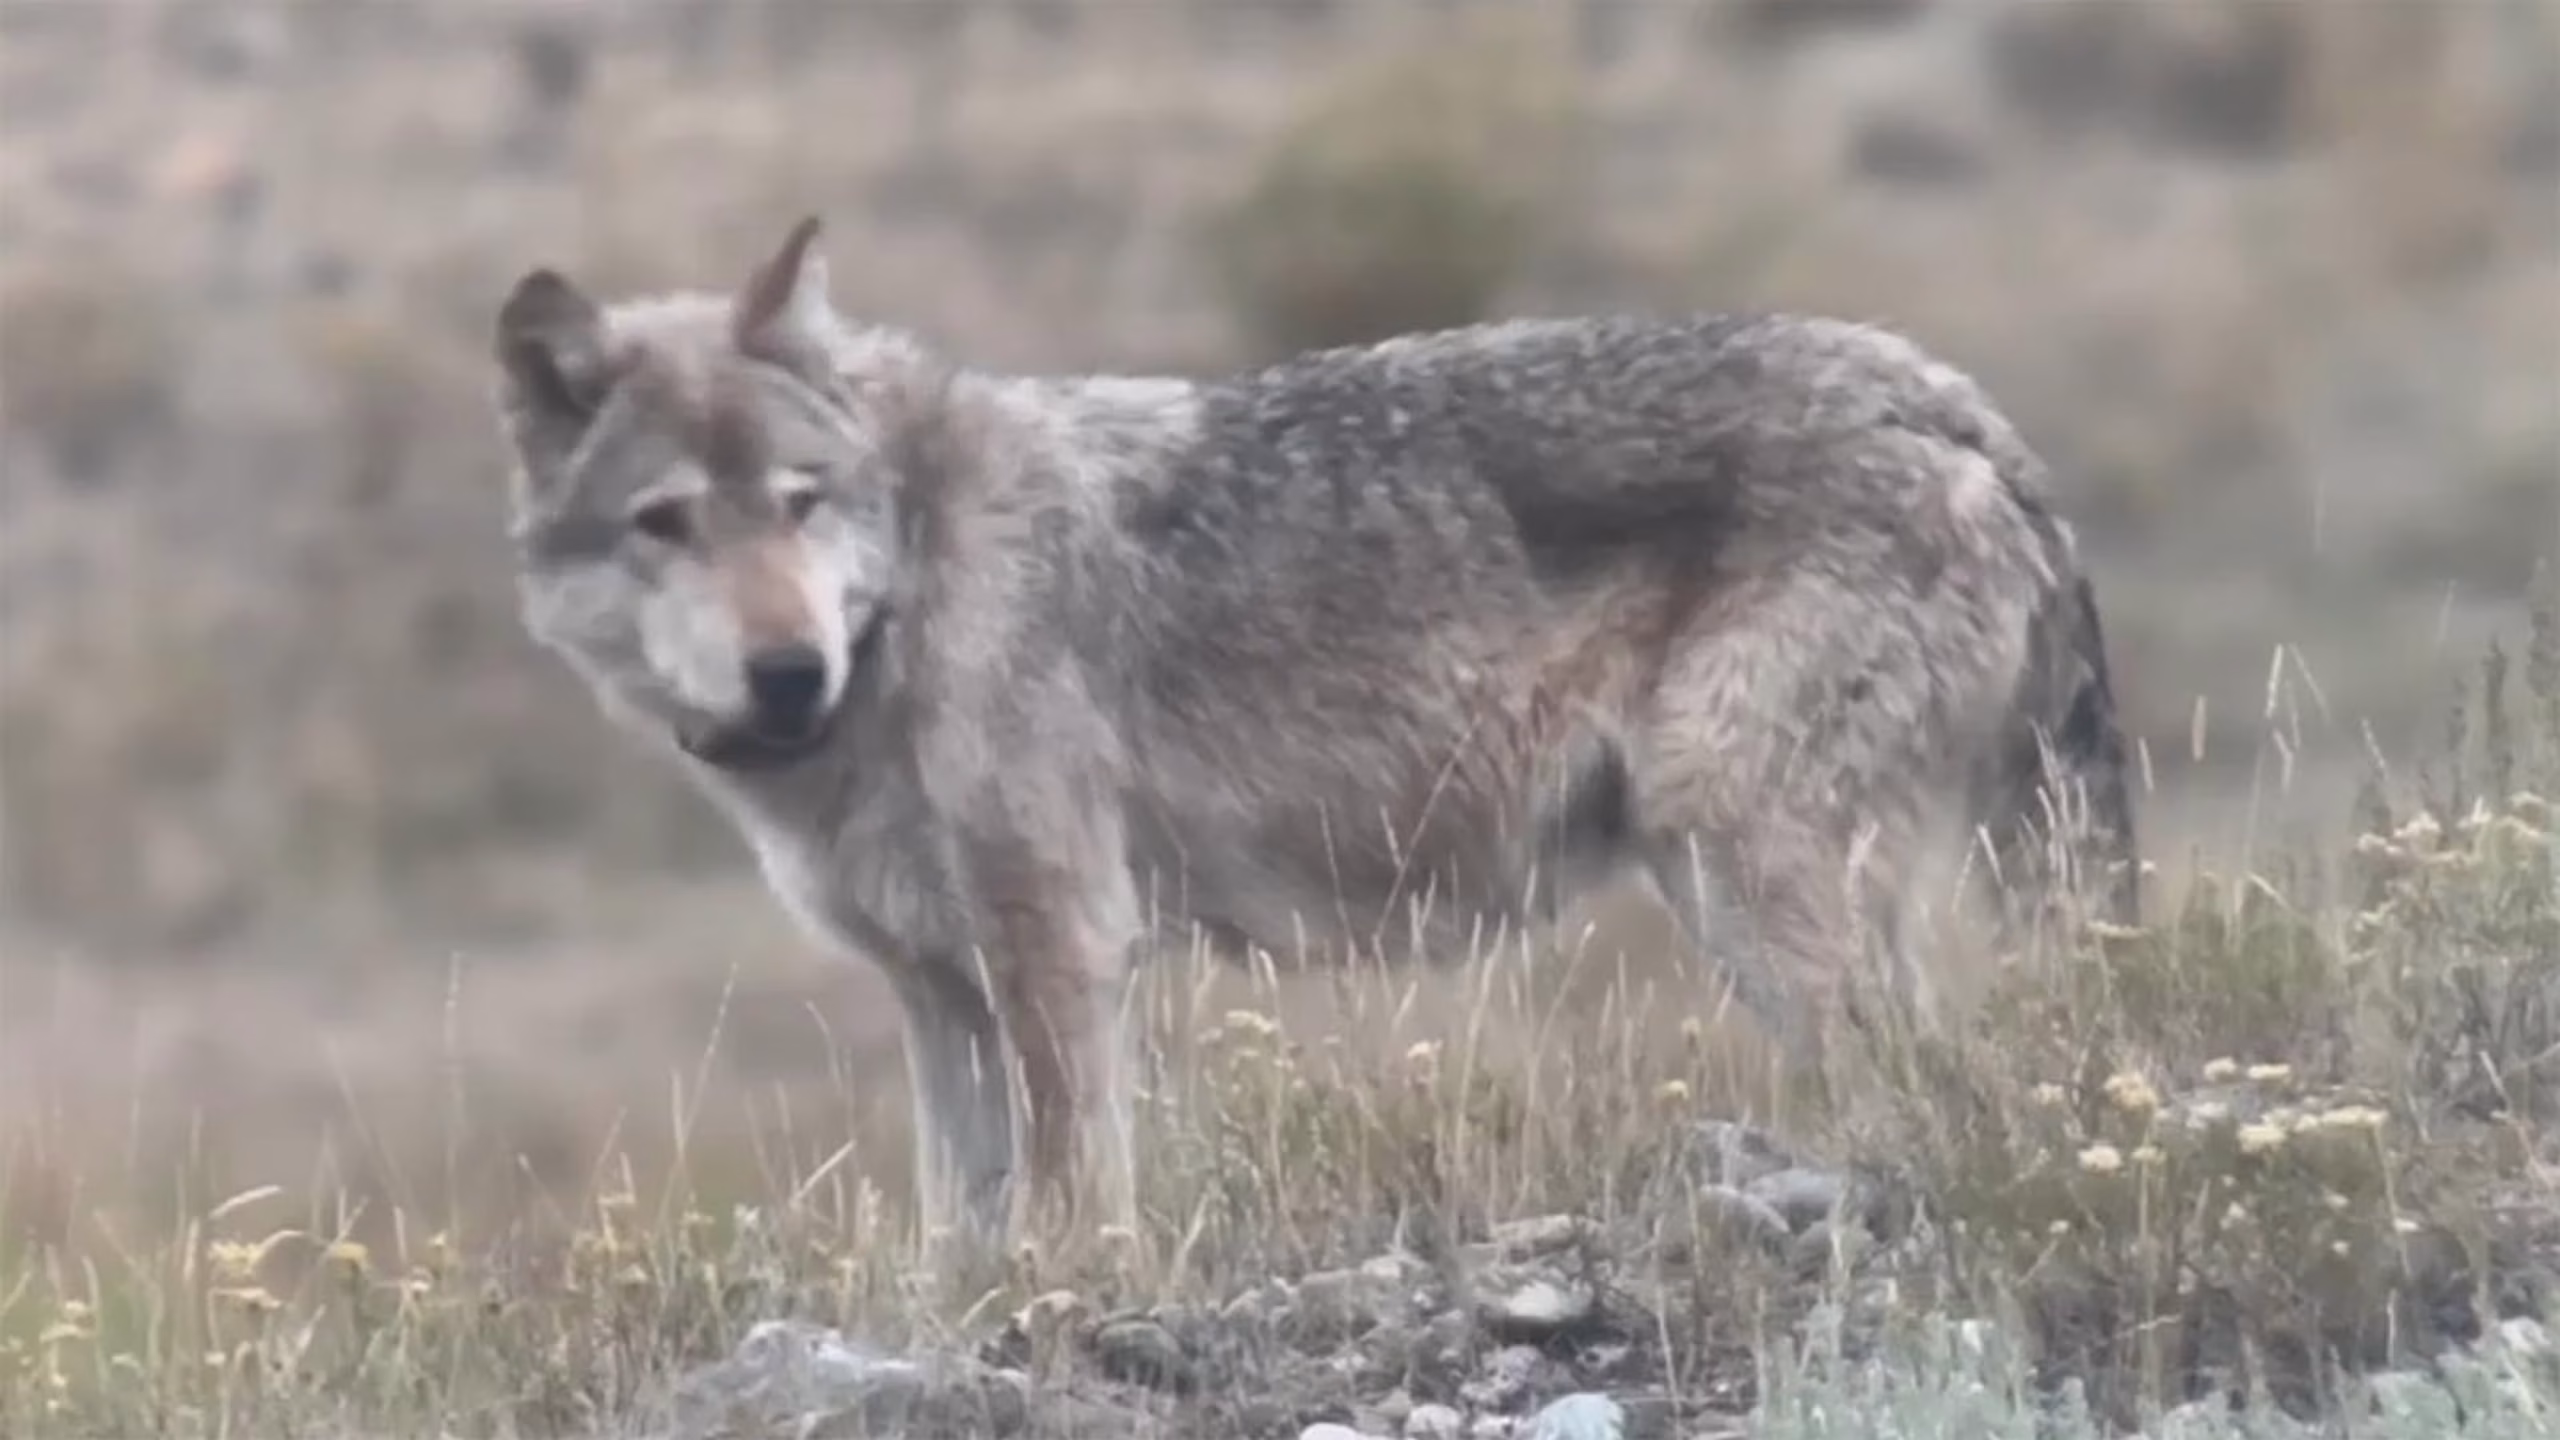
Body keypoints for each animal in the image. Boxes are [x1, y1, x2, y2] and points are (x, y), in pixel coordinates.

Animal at [490, 215, 2138, 1247]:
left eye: (800, 501)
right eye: (665, 524)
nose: (785, 671)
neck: (907, 597)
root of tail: (1957, 404)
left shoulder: (1060, 946)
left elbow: (1070, 1207)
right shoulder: (936, 988)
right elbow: (959, 1229)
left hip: (1737, 866)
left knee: (1927, 1088)